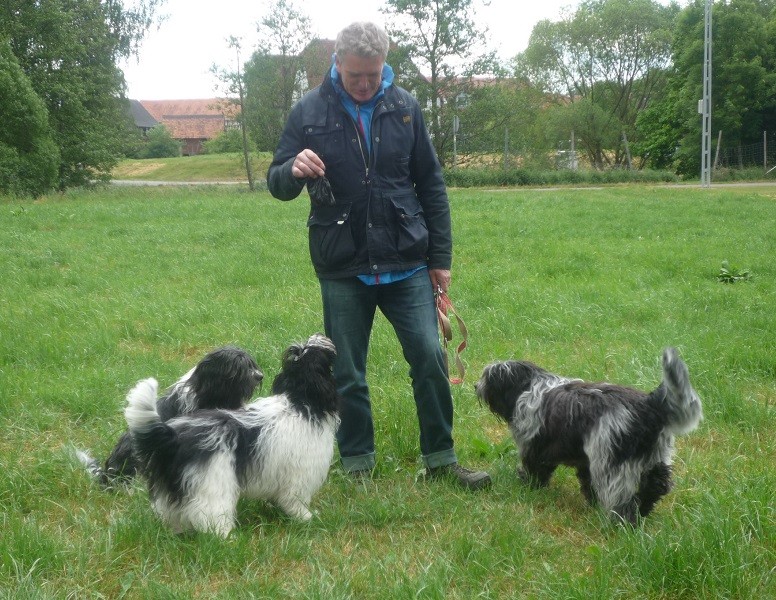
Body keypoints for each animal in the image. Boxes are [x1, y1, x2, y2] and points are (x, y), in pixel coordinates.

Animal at [126, 336, 338, 536]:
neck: (300, 401)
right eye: (315, 352)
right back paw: (228, 538)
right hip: (212, 481)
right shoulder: (300, 471)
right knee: (211, 515)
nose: (321, 337)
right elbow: (295, 500)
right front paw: (306, 518)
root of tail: (174, 438)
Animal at [472, 350, 704, 524]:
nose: (475, 385)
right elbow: (586, 481)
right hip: (655, 457)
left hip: (613, 462)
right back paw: (643, 511)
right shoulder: (584, 460)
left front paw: (528, 485)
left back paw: (622, 522)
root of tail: (649, 405)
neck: (528, 387)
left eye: (487, 378)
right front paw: (590, 501)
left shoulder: (534, 446)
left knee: (622, 497)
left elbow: (536, 469)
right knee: (655, 486)